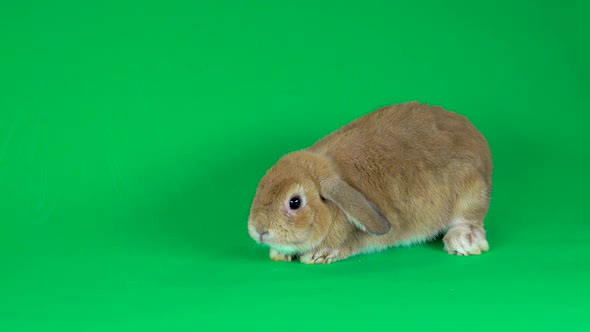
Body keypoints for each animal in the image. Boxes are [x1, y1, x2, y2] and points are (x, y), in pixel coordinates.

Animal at [247, 101, 492, 264]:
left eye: (295, 202)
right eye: (260, 187)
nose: (258, 231)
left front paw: (320, 254)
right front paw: (280, 253)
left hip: (471, 193)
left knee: (470, 220)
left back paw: (462, 242)